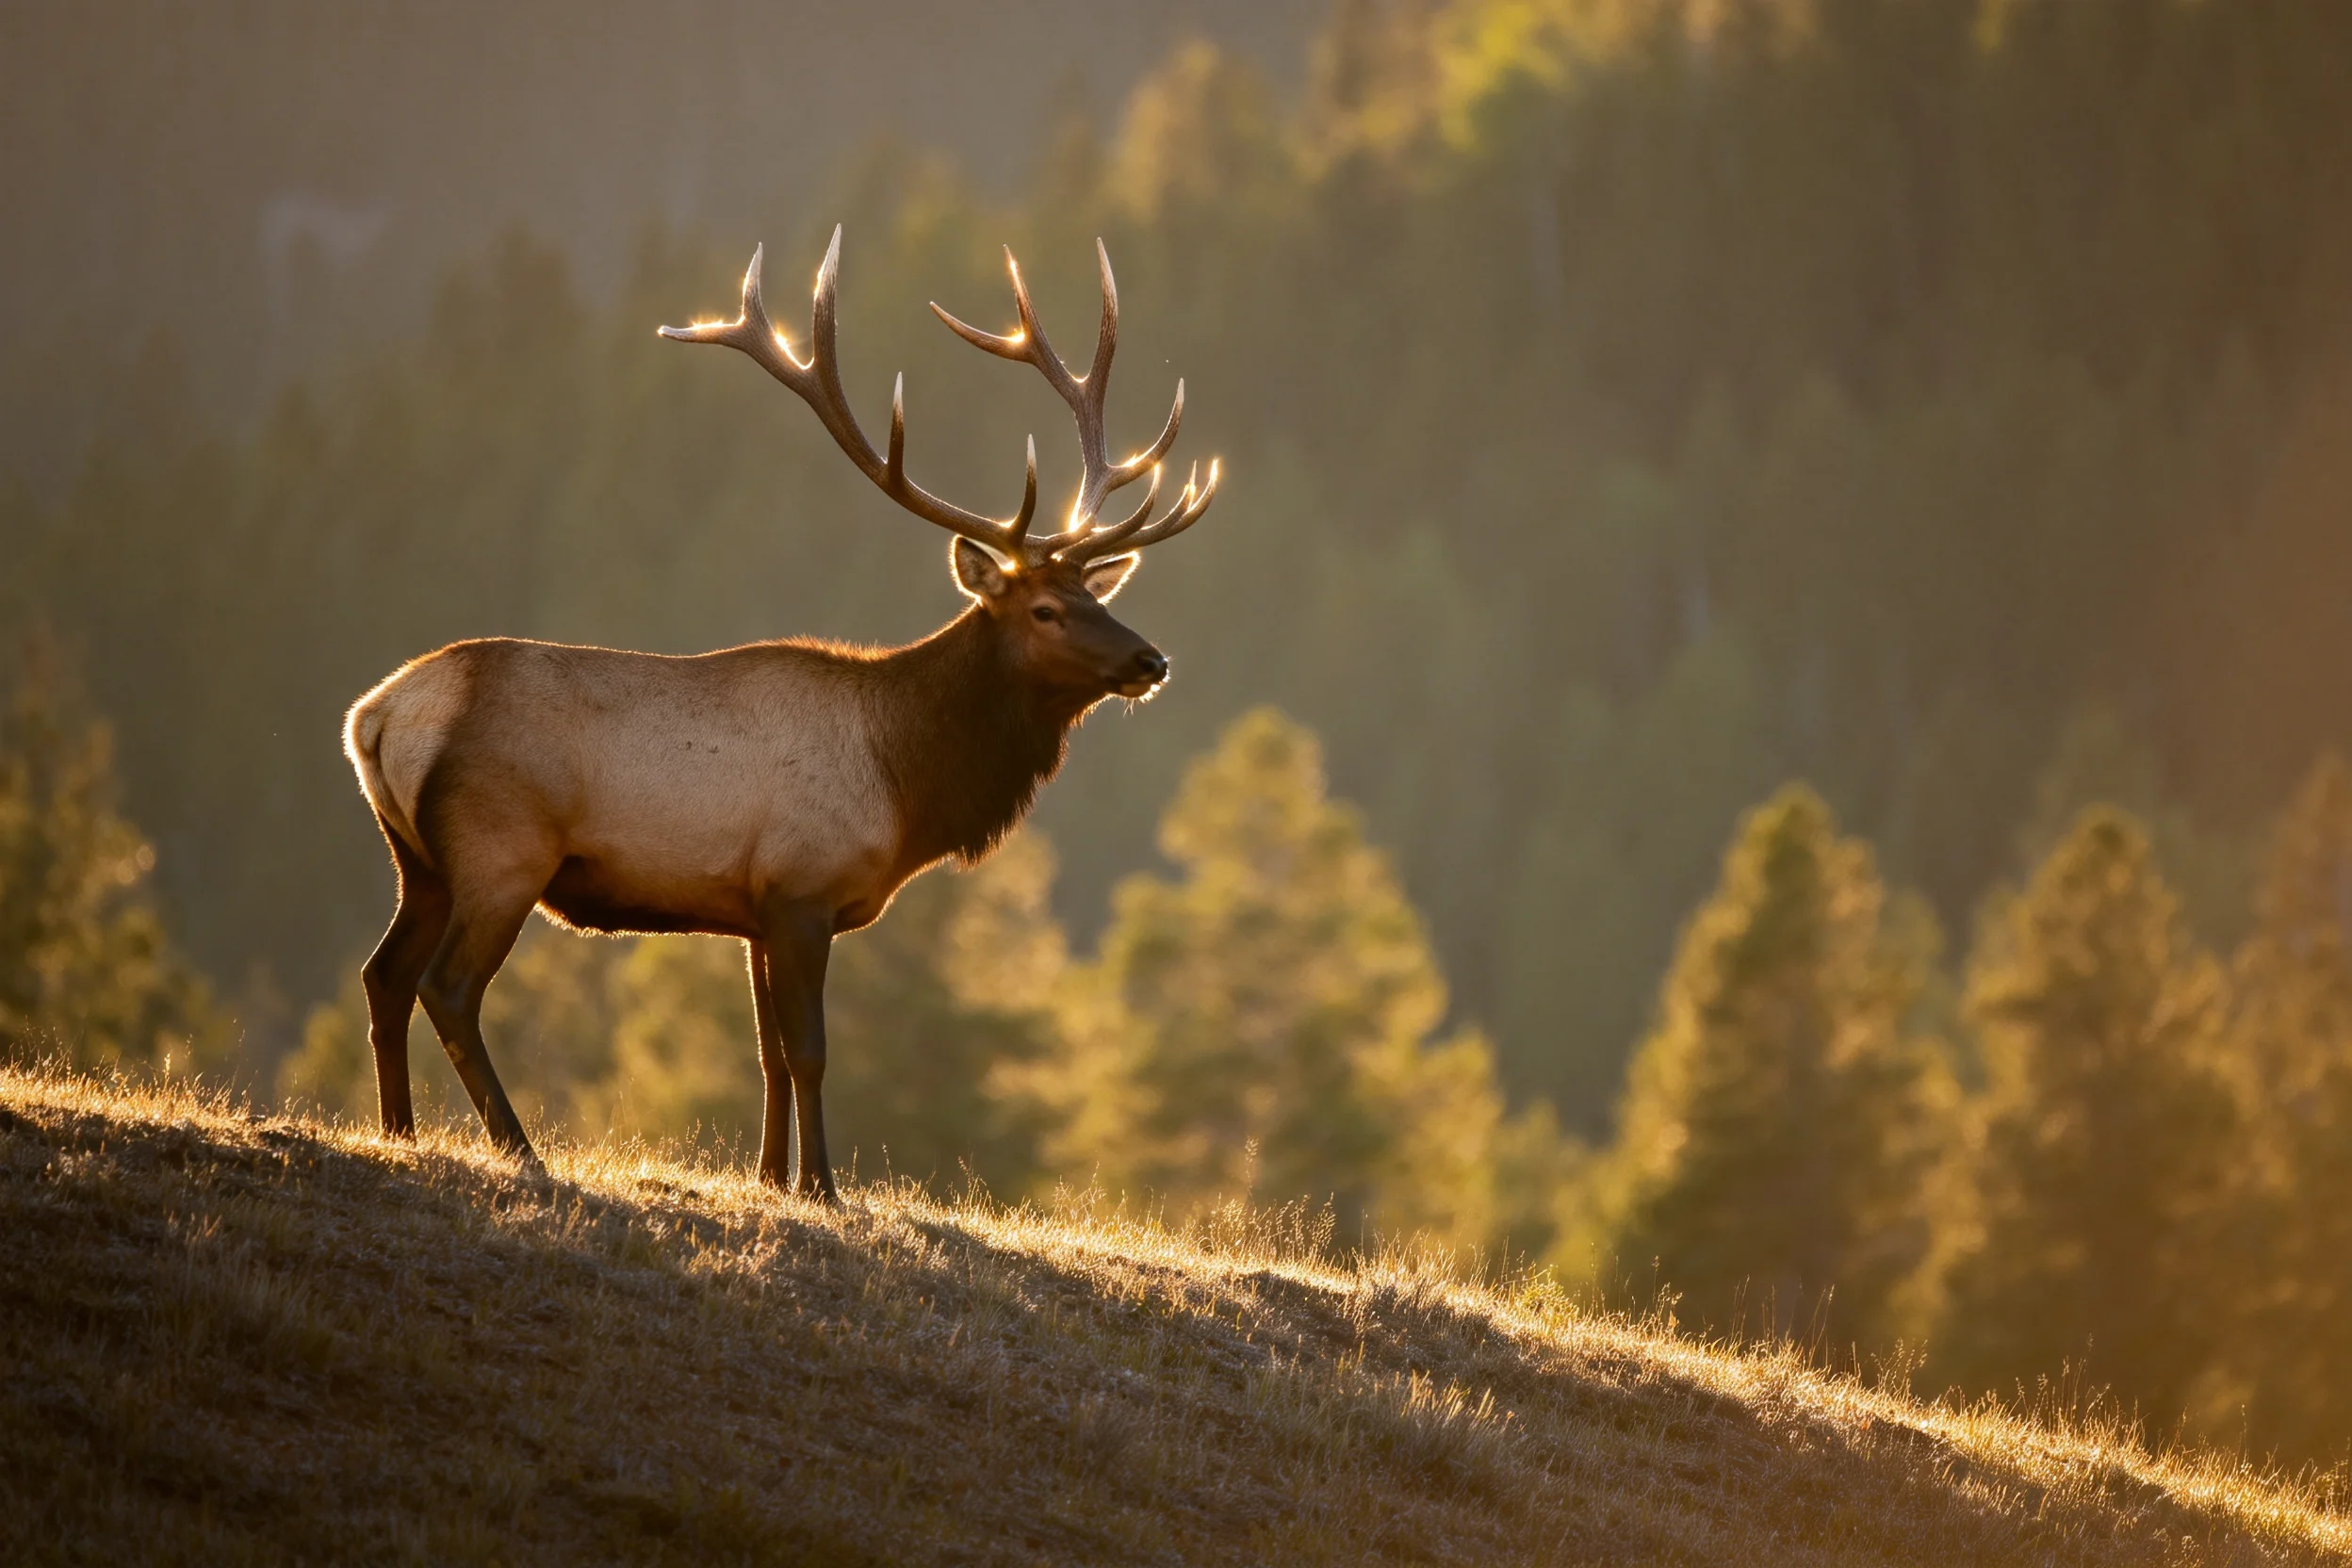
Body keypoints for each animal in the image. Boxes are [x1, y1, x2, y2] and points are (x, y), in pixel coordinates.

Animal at [343, 227, 1219, 1199]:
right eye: (1044, 610)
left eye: (1096, 595)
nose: (1151, 661)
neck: (906, 781)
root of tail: (377, 716)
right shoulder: (803, 889)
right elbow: (809, 1050)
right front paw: (823, 1186)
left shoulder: (754, 906)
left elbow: (764, 1054)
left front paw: (771, 1178)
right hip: (502, 849)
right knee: (448, 987)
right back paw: (517, 1146)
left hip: (419, 859)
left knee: (384, 976)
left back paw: (398, 1133)